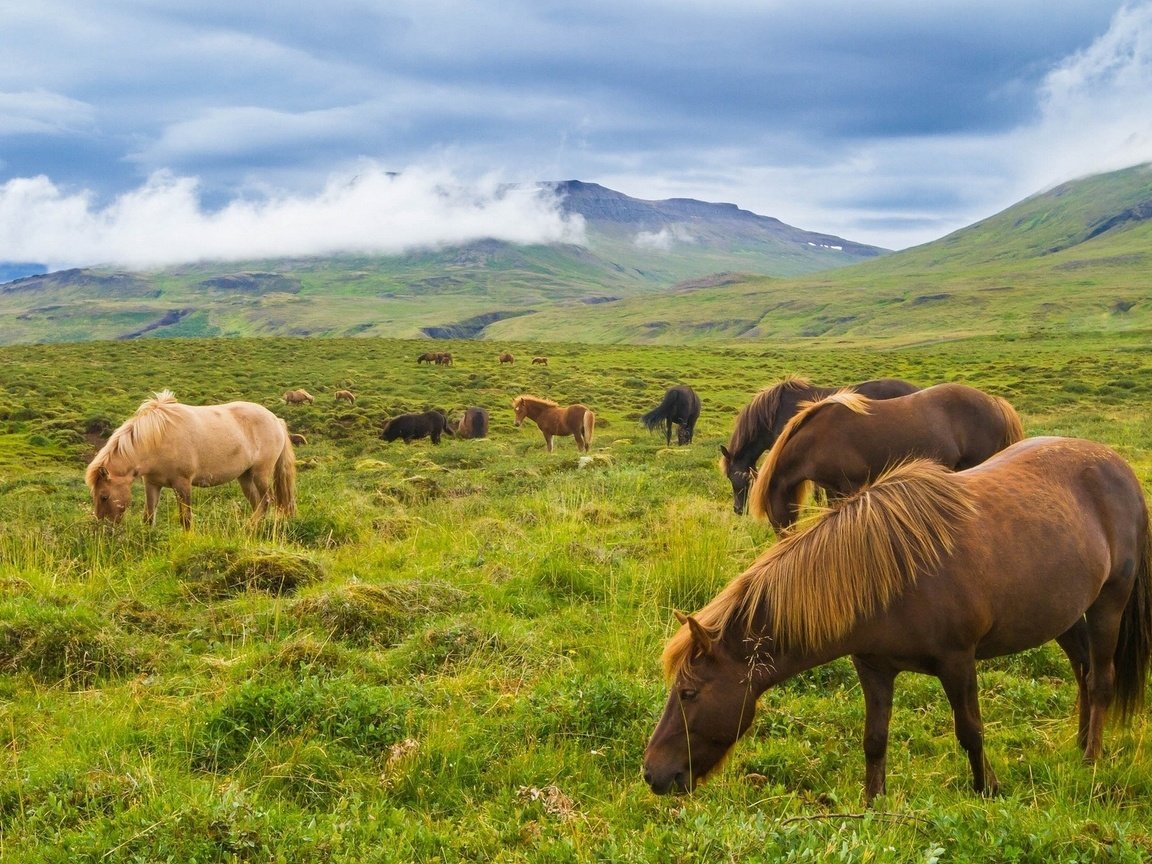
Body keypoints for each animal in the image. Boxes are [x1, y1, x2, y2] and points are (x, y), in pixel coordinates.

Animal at [85, 391, 297, 527]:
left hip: (260, 473)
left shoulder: (183, 484)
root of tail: (276, 420)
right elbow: (148, 517)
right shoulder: (152, 484)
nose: (103, 528)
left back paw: (248, 529)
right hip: (245, 477)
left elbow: (186, 518)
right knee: (258, 504)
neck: (157, 440)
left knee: (267, 501)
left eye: (104, 496)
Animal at [645, 440, 1152, 806]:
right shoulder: (873, 667)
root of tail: (1117, 466)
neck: (887, 574)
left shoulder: (958, 662)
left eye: (688, 693)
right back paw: (1080, 743)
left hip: (1108, 604)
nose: (652, 773)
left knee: (1101, 680)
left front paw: (987, 789)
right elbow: (874, 739)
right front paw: (873, 804)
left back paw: (1091, 757)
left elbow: (970, 730)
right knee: (1083, 671)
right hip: (1062, 614)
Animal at [746, 384, 1027, 534]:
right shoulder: (833, 490)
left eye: (768, 510)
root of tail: (994, 402)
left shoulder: (850, 486)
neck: (817, 438)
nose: (782, 537)